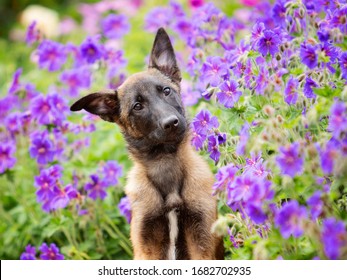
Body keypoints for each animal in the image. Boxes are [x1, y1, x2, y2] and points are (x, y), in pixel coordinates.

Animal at [70, 27, 224, 260]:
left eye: (167, 91)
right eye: (137, 106)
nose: (171, 123)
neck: (165, 163)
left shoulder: (202, 241)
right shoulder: (146, 247)